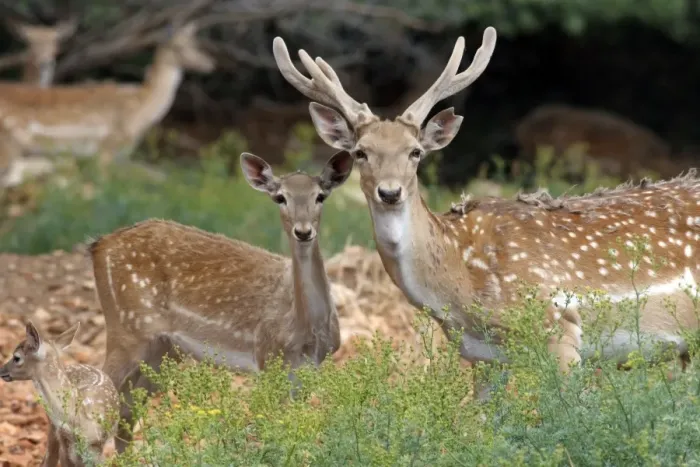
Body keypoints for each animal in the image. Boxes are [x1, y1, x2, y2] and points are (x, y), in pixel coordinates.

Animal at [0, 21, 214, 189]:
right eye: (178, 47)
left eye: (195, 43)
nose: (209, 64)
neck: (141, 108)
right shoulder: (106, 147)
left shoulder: (120, 155)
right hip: (9, 148)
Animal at [0, 321, 119, 467]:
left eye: (16, 357)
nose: (2, 371)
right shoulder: (65, 446)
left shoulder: (96, 448)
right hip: (53, 428)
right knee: (47, 459)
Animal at [89, 149, 353, 452]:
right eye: (280, 197)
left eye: (320, 195)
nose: (303, 231)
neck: (307, 330)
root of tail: (97, 246)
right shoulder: (267, 356)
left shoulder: (310, 367)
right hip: (126, 329)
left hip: (161, 350)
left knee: (125, 410)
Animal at [271, 27, 700, 379]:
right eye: (361, 152)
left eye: (415, 152)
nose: (390, 192)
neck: (460, 287)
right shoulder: (483, 357)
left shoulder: (560, 331)